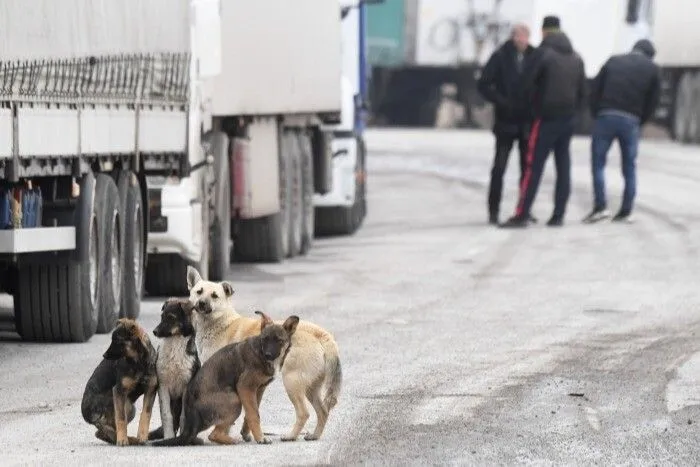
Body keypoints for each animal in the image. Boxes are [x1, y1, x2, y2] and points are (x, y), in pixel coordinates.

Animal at [80, 318, 159, 446]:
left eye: (117, 341)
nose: (104, 355)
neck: (138, 363)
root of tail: (87, 415)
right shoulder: (118, 391)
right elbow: (121, 418)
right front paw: (122, 440)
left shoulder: (150, 390)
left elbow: (146, 414)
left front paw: (142, 436)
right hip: (123, 404)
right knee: (108, 429)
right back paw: (127, 439)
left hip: (130, 408)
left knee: (102, 432)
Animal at [148, 298, 201, 440]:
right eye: (161, 317)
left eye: (171, 318)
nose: (154, 332)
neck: (174, 343)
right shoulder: (163, 385)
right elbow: (167, 415)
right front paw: (168, 437)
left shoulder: (186, 386)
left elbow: (183, 417)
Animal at [150, 312, 298, 448]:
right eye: (265, 339)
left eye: (279, 340)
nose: (268, 355)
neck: (260, 351)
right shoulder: (245, 387)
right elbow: (254, 415)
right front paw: (261, 438)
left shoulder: (258, 390)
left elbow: (251, 413)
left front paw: (247, 433)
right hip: (234, 400)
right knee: (213, 435)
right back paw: (232, 441)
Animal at [187, 266, 344, 442]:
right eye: (199, 292)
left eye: (214, 295)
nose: (201, 303)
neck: (221, 322)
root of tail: (322, 334)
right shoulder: (254, 387)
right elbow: (250, 412)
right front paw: (247, 434)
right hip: (311, 387)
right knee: (323, 411)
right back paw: (314, 435)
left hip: (292, 381)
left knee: (304, 413)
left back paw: (290, 436)